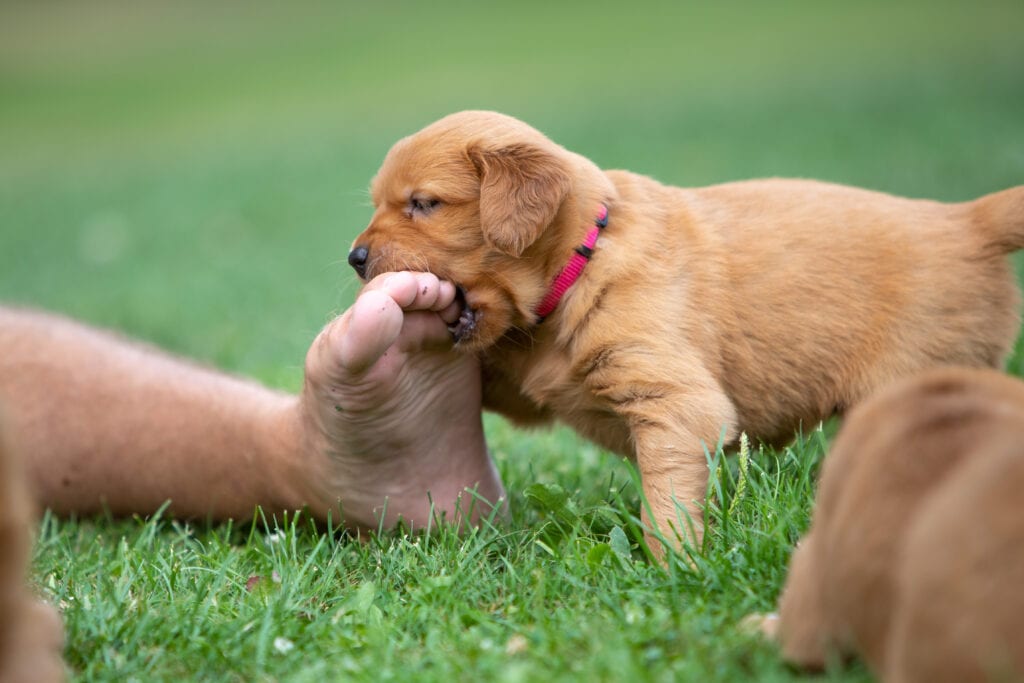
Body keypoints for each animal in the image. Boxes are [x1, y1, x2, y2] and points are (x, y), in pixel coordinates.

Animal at [346, 109, 1024, 552]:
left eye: (424, 204)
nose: (355, 258)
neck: (582, 259)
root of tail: (969, 220)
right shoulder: (530, 380)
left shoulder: (675, 401)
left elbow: (666, 494)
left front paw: (674, 563)